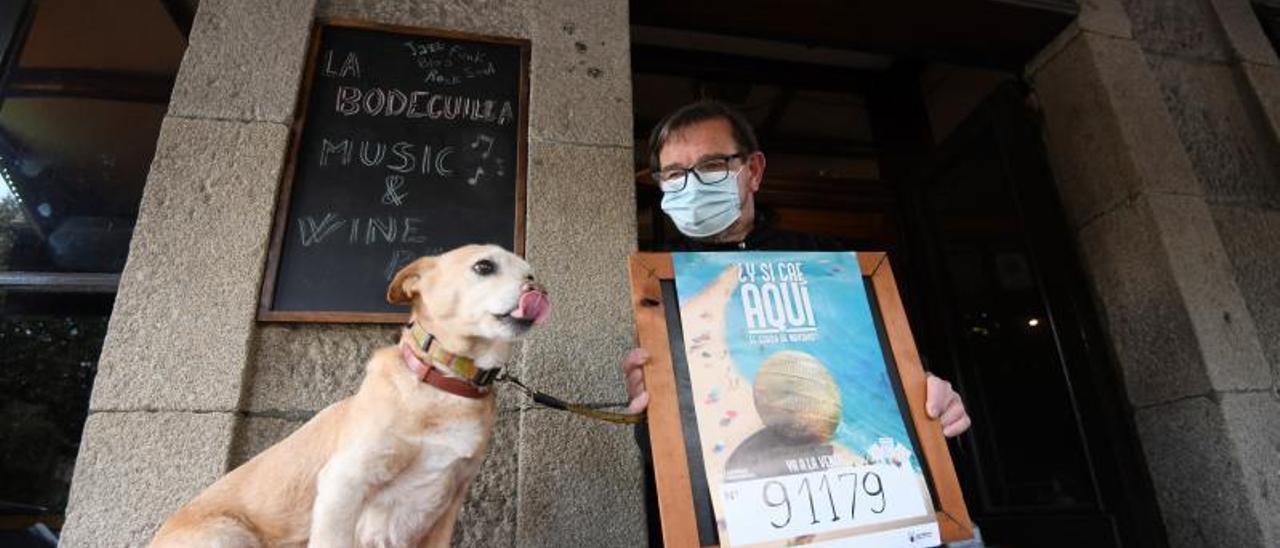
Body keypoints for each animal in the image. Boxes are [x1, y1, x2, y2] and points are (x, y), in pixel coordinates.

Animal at [149, 244, 550, 548]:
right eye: (484, 266)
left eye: (530, 275)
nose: (541, 291)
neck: (445, 382)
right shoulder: (345, 482)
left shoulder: (447, 505)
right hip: (229, 534)